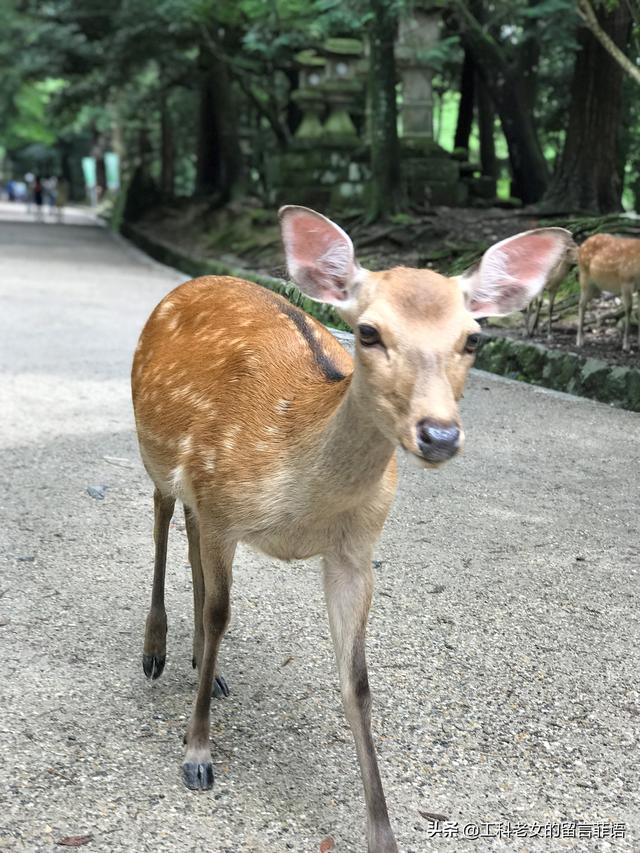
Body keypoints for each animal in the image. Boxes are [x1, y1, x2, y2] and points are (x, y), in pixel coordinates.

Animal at [131, 208, 576, 852]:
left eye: (474, 338)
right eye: (368, 332)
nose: (439, 435)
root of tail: (190, 283)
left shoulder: (353, 550)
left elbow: (357, 681)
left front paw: (382, 833)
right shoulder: (221, 504)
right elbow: (220, 617)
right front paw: (197, 757)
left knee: (188, 542)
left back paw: (201, 672)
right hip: (156, 454)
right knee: (163, 523)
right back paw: (156, 652)